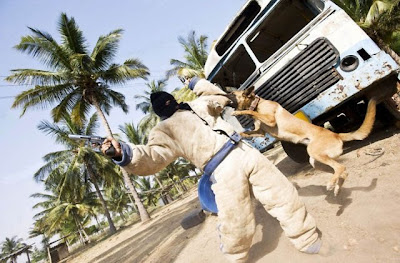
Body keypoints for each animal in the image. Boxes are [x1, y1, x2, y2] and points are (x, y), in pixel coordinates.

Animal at [227, 86, 376, 196]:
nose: (224, 93)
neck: (257, 103)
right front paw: (238, 134)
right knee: (342, 171)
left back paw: (331, 184)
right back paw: (337, 188)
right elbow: (247, 132)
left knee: (341, 168)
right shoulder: (260, 132)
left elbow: (251, 112)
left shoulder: (270, 120)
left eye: (232, 93)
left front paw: (238, 113)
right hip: (316, 162)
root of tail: (336, 135)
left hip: (315, 153)